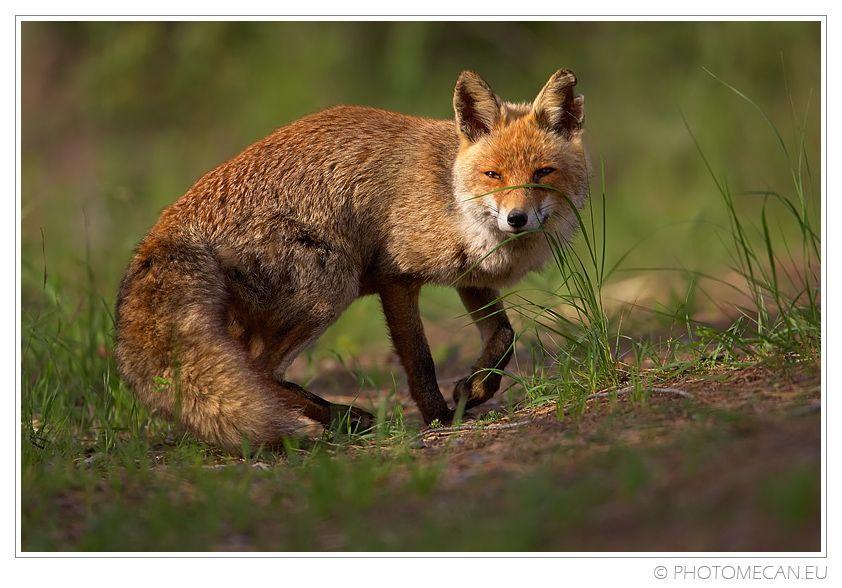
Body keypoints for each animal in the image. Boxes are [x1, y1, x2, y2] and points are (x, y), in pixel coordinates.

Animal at [115, 70, 588, 454]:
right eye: (494, 175)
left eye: (543, 173)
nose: (516, 219)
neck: (449, 194)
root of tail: (167, 224)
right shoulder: (396, 277)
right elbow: (420, 361)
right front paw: (438, 417)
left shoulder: (468, 275)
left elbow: (503, 336)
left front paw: (474, 389)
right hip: (332, 286)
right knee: (259, 372)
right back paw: (339, 419)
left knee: (251, 371)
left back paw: (336, 418)